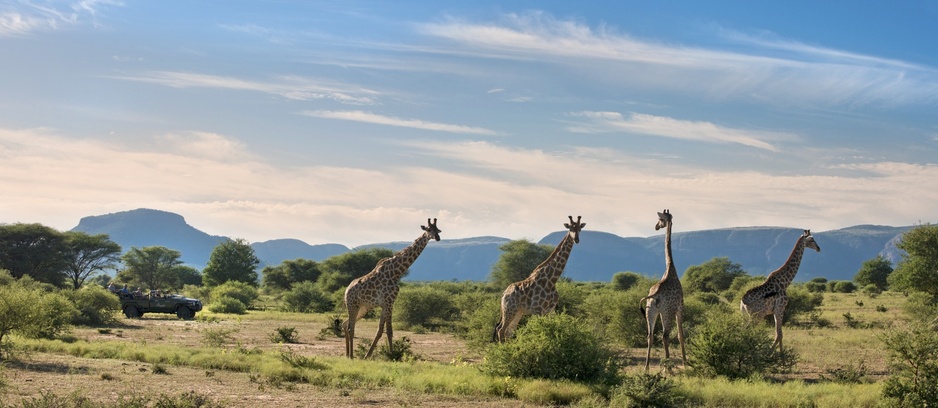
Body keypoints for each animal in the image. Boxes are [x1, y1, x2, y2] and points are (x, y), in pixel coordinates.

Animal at [343, 218, 441, 359]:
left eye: (437, 229)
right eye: (428, 229)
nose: (437, 237)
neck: (396, 273)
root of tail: (346, 291)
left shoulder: (386, 304)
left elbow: (380, 330)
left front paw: (368, 355)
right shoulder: (389, 302)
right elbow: (389, 330)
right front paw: (393, 355)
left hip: (362, 308)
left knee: (346, 324)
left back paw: (348, 354)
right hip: (353, 305)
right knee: (351, 328)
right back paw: (351, 356)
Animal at [640, 209, 687, 371]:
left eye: (660, 220)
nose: (656, 226)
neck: (670, 269)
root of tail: (655, 295)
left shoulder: (661, 312)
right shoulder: (680, 307)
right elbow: (680, 335)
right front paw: (686, 363)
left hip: (651, 311)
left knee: (650, 335)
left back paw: (647, 367)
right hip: (668, 312)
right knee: (665, 335)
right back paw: (668, 369)